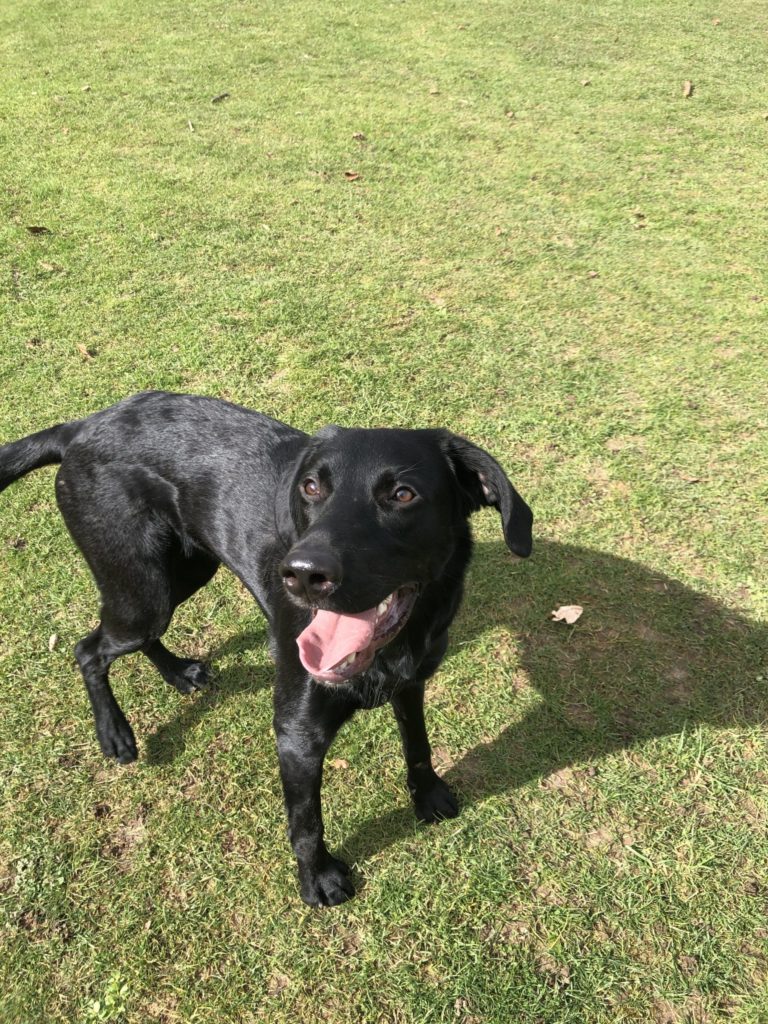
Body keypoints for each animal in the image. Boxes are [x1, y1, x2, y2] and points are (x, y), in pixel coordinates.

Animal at [0, 392, 533, 905]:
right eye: (312, 488)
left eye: (403, 495)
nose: (302, 574)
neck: (393, 646)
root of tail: (81, 427)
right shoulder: (297, 733)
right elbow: (306, 821)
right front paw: (318, 880)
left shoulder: (412, 682)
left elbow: (417, 745)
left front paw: (428, 796)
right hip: (141, 590)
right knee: (88, 649)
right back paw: (114, 734)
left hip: (182, 573)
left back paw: (178, 674)